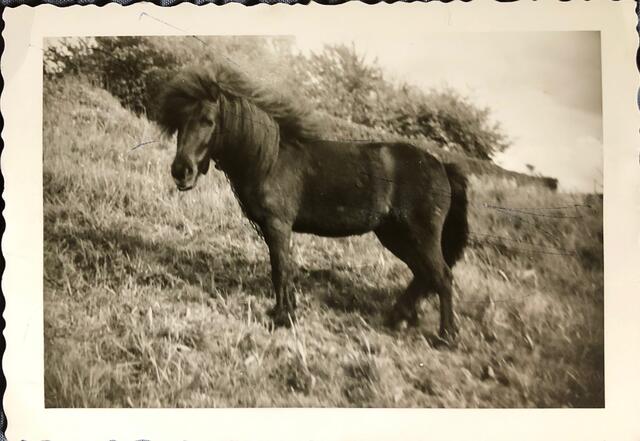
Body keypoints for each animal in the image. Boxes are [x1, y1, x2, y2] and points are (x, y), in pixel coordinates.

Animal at [157, 63, 469, 342]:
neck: (270, 158)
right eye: (180, 120)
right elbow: (283, 269)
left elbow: (280, 268)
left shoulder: (278, 225)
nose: (181, 171)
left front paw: (282, 317)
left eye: (208, 120)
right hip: (395, 235)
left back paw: (446, 336)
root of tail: (442, 166)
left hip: (419, 235)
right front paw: (286, 310)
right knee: (423, 275)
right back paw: (400, 318)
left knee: (442, 277)